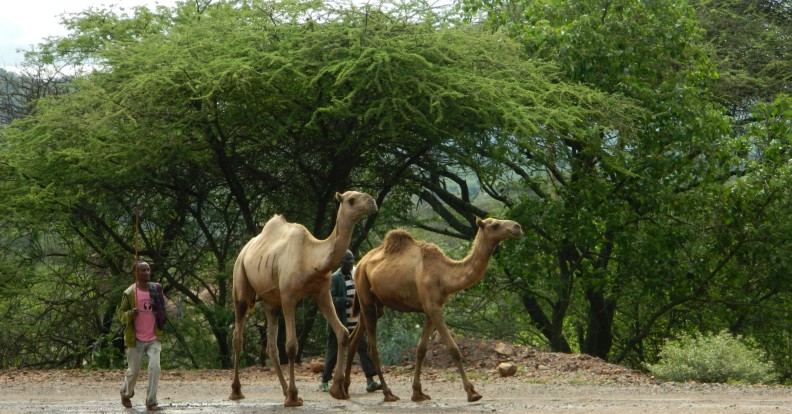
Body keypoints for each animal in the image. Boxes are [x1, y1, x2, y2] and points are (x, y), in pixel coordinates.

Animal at [229, 191, 377, 407]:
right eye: (351, 200)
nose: (372, 202)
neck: (311, 258)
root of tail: (246, 249)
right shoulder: (289, 297)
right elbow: (292, 346)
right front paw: (293, 398)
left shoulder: (322, 293)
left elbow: (342, 332)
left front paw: (338, 390)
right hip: (240, 278)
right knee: (238, 335)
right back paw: (237, 391)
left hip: (271, 301)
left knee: (271, 346)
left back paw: (284, 390)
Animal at [343, 218, 523, 403]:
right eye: (495, 225)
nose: (517, 227)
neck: (444, 275)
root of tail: (360, 263)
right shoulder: (433, 307)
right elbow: (453, 349)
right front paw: (472, 392)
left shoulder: (430, 308)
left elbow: (421, 349)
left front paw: (418, 393)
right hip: (365, 294)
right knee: (372, 348)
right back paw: (387, 393)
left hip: (374, 302)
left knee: (354, 339)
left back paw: (343, 390)